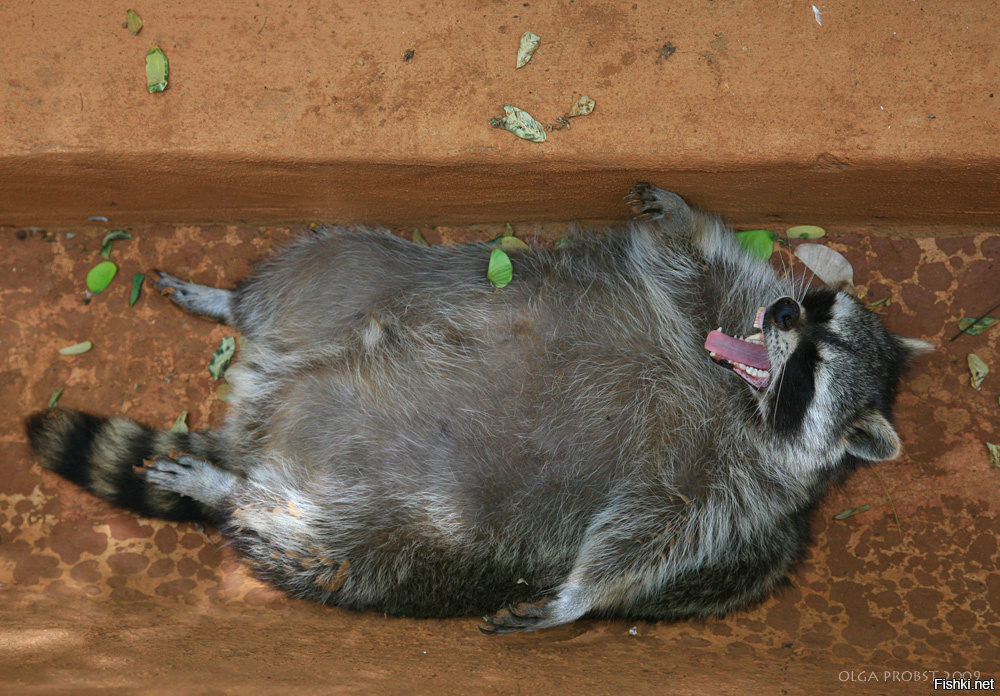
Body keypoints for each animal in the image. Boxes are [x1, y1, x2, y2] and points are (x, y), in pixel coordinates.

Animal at [23, 184, 928, 632]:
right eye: (814, 314)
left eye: (812, 362)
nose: (784, 311)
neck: (738, 394)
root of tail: (267, 399)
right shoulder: (718, 302)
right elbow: (693, 260)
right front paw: (679, 214)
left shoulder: (742, 502)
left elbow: (655, 538)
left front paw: (579, 597)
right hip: (375, 277)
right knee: (339, 260)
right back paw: (234, 307)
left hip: (387, 536)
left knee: (312, 529)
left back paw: (234, 490)